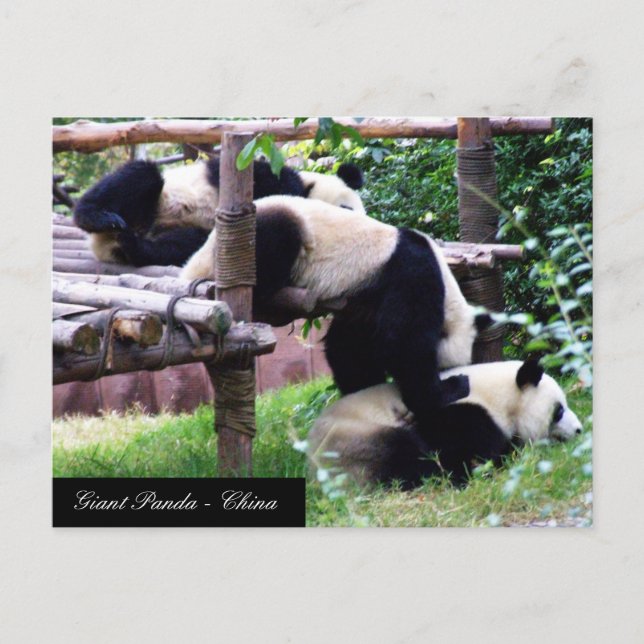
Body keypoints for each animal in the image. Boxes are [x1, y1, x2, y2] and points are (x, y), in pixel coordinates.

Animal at [73, 157, 365, 267]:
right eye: (346, 209)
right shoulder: (260, 174)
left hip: (188, 231)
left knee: (180, 245)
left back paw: (134, 247)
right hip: (149, 203)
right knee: (141, 175)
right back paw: (97, 216)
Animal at [182, 195, 492, 420]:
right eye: (445, 369)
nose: (449, 375)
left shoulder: (365, 301)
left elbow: (350, 346)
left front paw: (362, 390)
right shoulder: (410, 272)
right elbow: (404, 342)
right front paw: (446, 391)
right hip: (260, 235)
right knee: (277, 237)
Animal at [307, 359, 583, 489]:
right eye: (559, 410)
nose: (580, 430)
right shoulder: (460, 414)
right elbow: (467, 452)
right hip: (353, 442)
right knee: (402, 455)